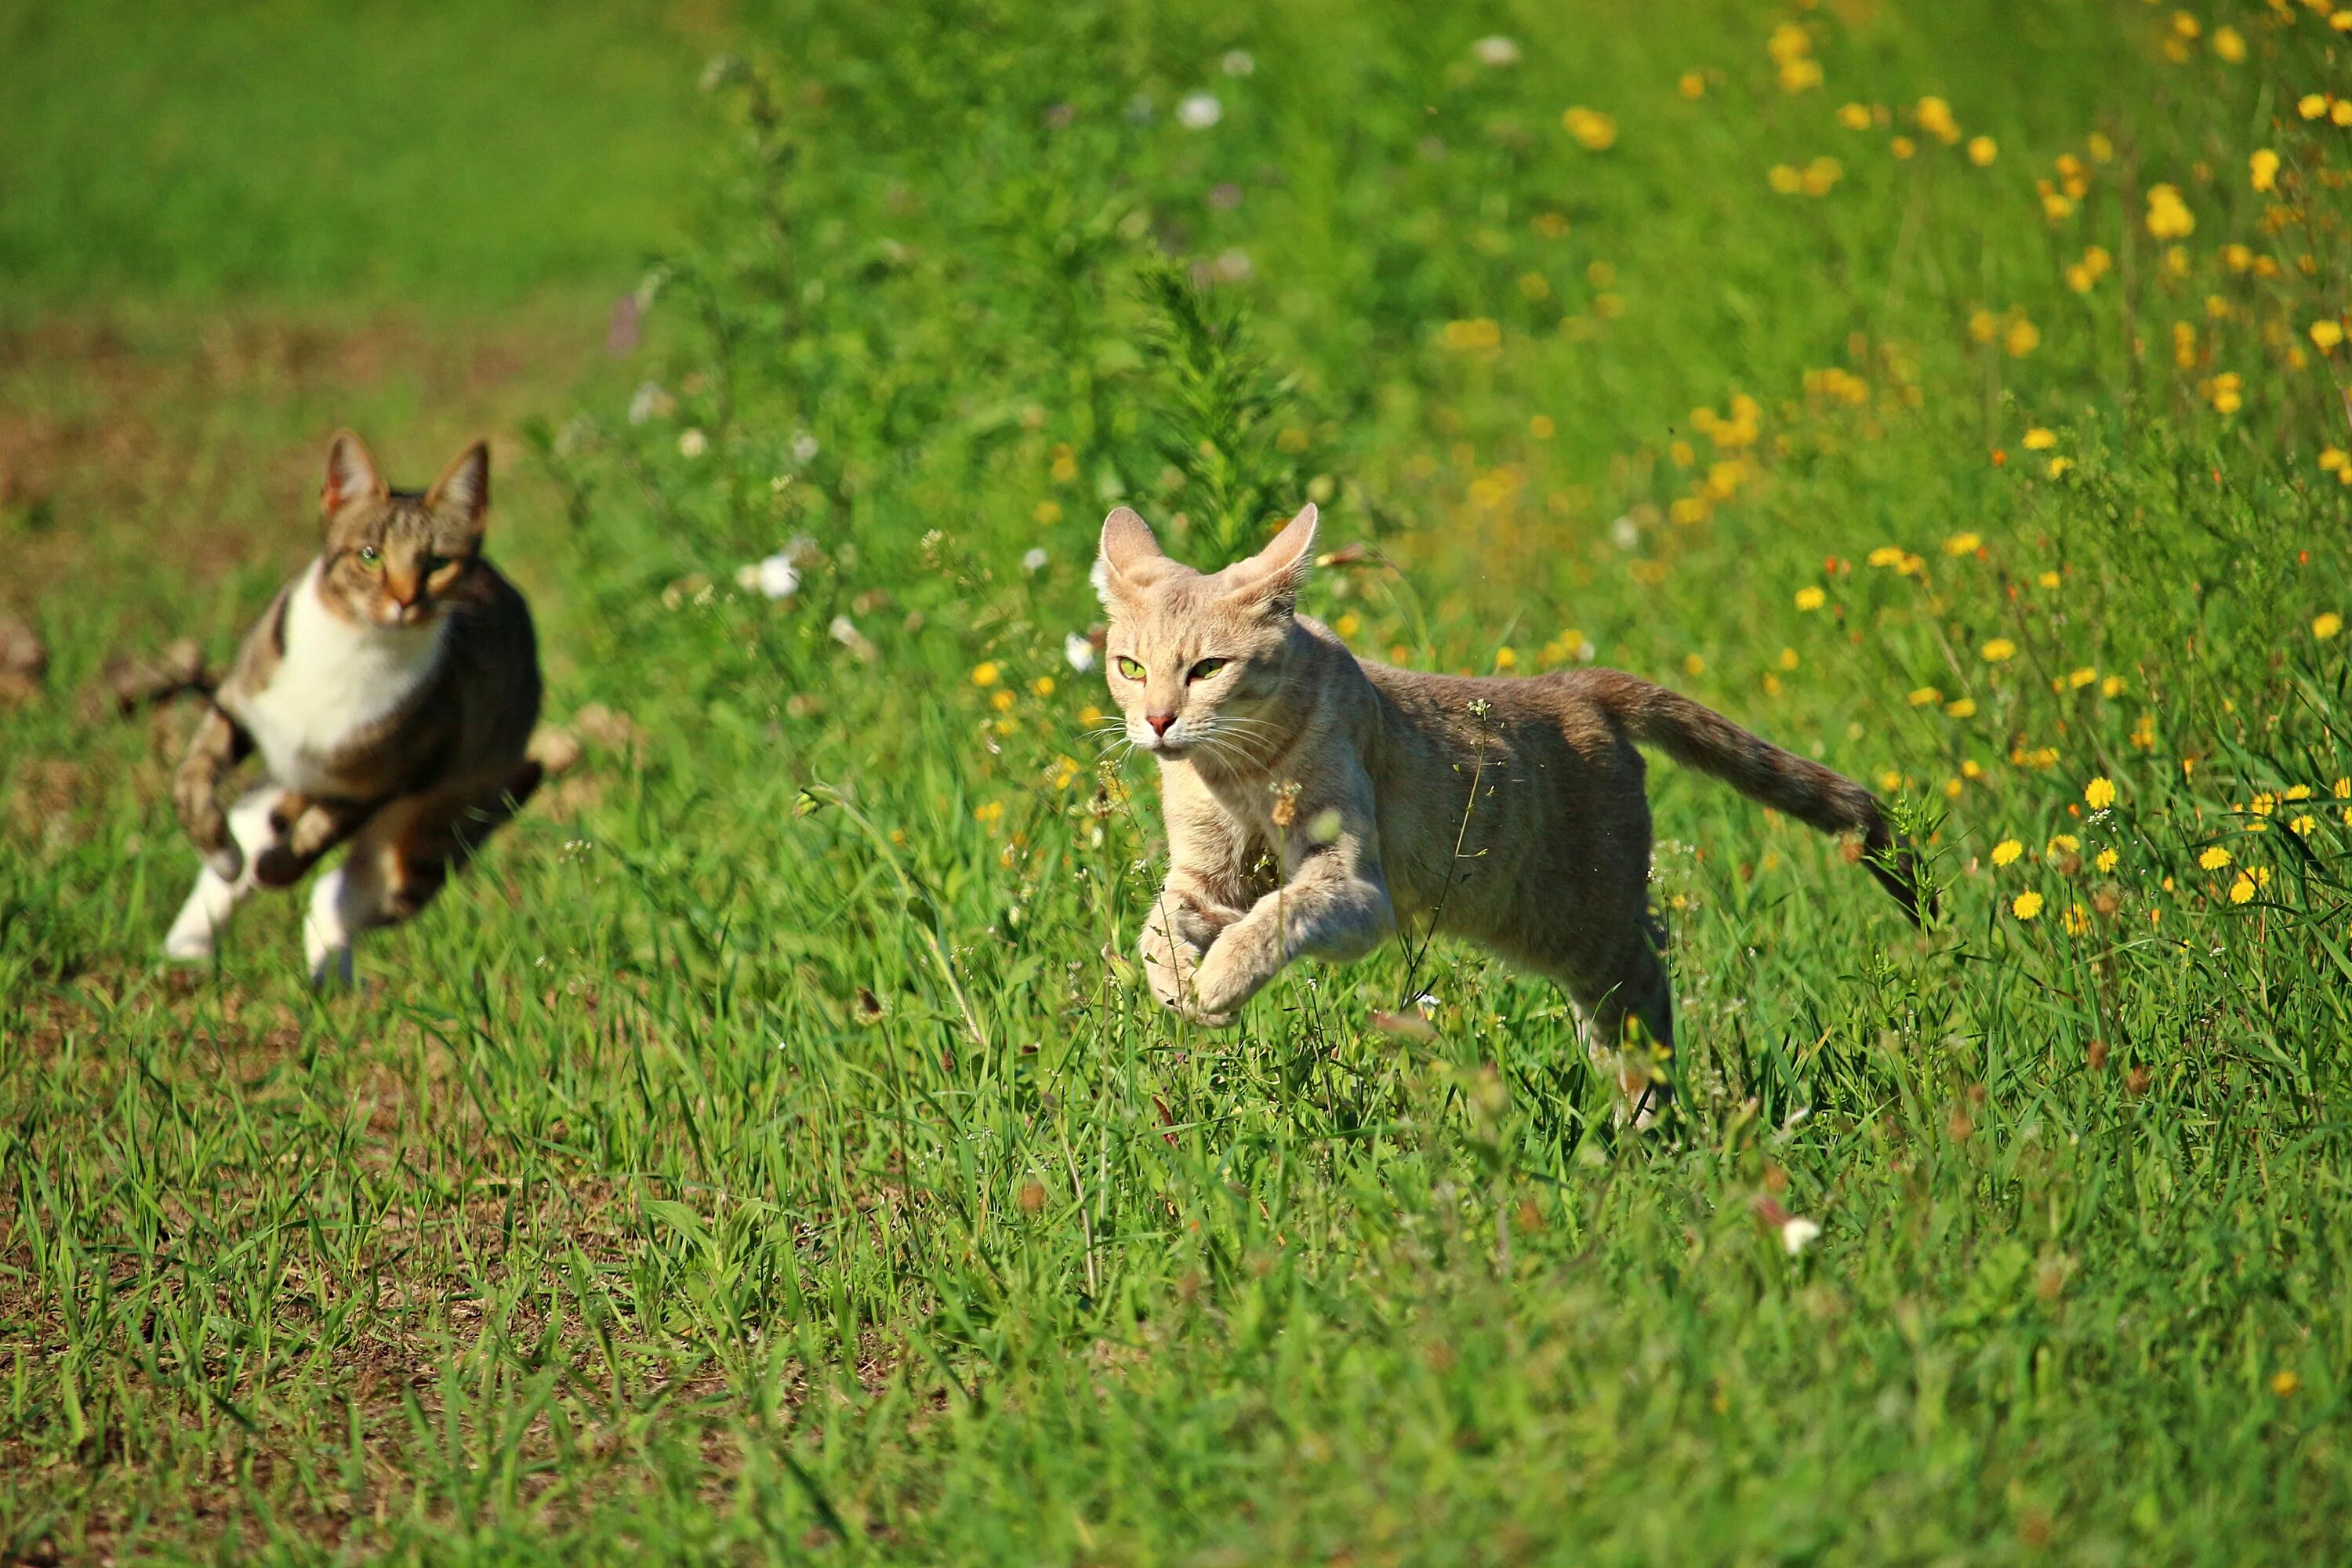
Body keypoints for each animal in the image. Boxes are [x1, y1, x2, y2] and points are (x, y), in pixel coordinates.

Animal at [170, 434, 546, 987]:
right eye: (370, 556)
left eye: (438, 564)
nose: (405, 600)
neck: (355, 646)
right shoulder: (242, 702)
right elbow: (193, 778)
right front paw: (225, 858)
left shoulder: (388, 779)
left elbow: (316, 837)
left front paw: (272, 868)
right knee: (262, 823)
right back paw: (188, 947)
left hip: (435, 831)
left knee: (343, 891)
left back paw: (330, 973)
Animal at [1091, 503, 1919, 1114]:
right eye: (1130, 667)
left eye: (1208, 669)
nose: (1157, 721)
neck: (1232, 773)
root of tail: (1573, 684)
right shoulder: (1204, 877)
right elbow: (1159, 924)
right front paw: (1175, 984)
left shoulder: (1354, 887)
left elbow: (1276, 915)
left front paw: (1220, 981)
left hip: (1587, 927)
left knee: (1647, 995)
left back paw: (1646, 1126)